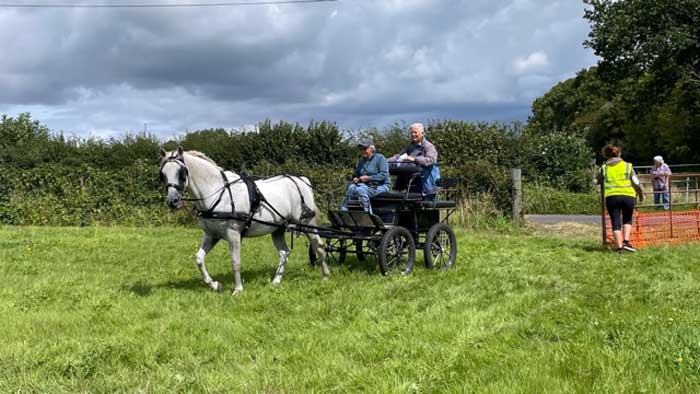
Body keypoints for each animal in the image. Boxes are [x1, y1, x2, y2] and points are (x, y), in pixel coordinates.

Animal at [160, 149, 330, 296]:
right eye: (162, 174)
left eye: (181, 173)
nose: (172, 201)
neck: (218, 193)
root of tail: (302, 180)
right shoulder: (211, 235)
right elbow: (199, 259)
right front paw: (215, 285)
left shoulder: (233, 234)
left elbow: (235, 262)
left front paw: (238, 289)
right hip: (278, 229)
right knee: (284, 253)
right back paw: (276, 281)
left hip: (307, 224)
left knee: (319, 247)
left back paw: (326, 276)